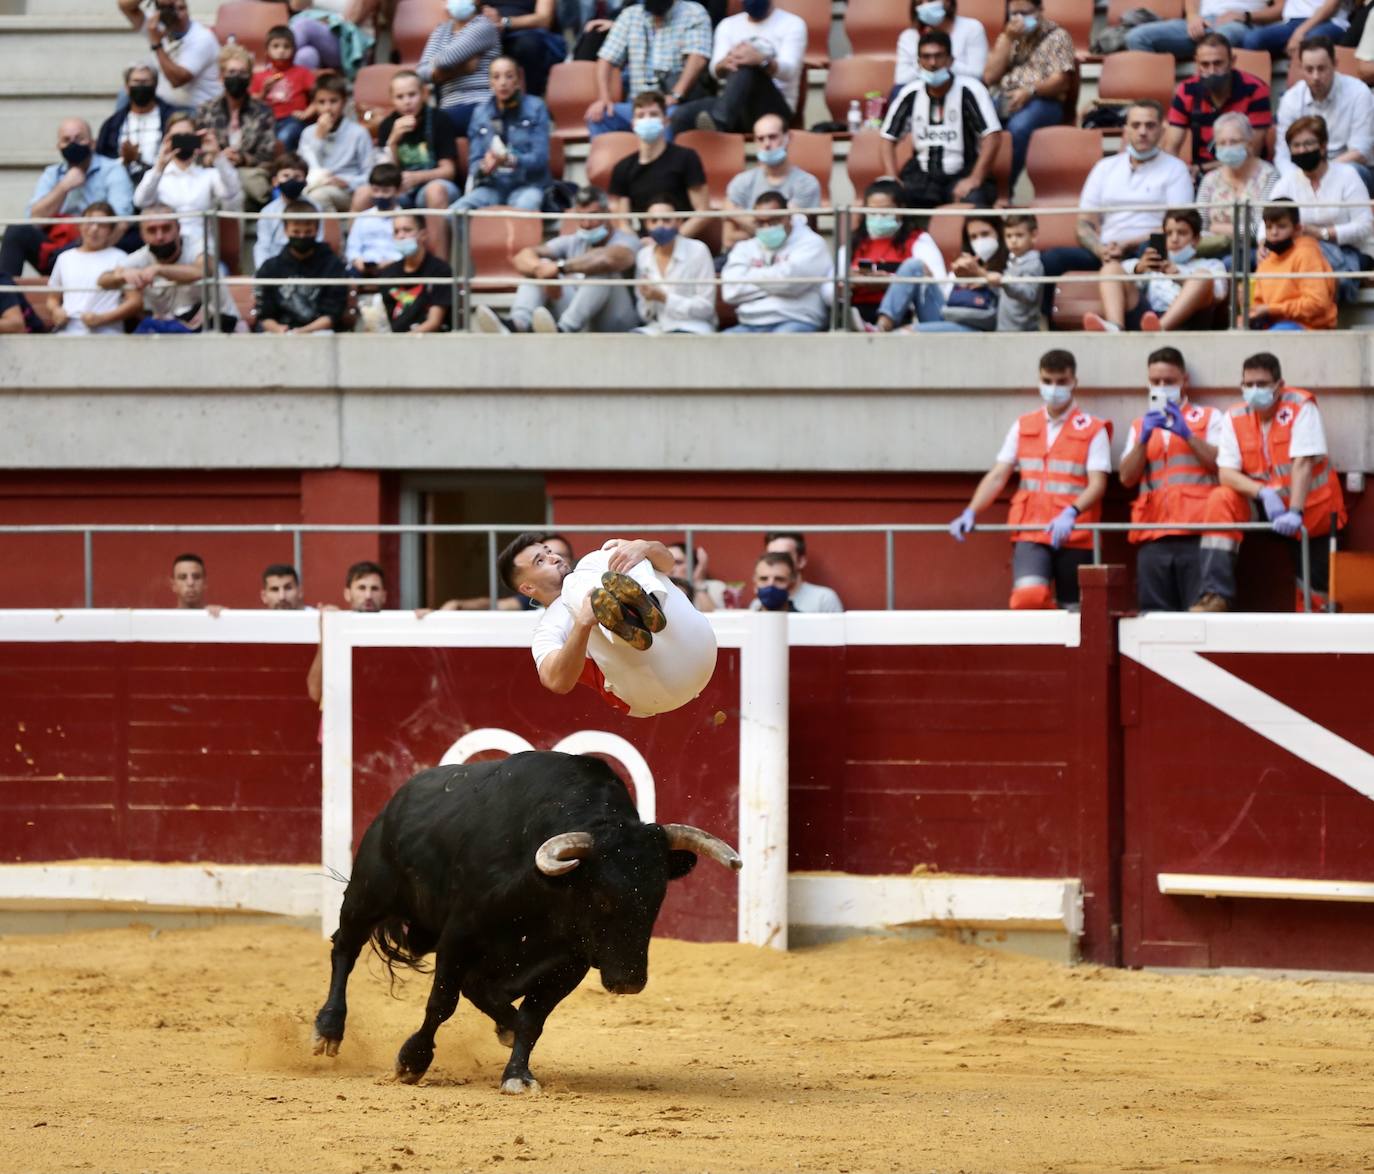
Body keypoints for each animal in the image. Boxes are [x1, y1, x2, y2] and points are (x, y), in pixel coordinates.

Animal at [314, 753, 741, 1094]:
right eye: (602, 896)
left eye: (656, 899)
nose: (629, 981)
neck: (548, 890)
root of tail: (397, 801)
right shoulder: (459, 938)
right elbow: (441, 1003)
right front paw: (411, 1060)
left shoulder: (568, 964)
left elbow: (532, 1019)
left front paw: (517, 1074)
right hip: (367, 895)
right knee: (344, 949)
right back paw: (328, 1029)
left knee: (483, 991)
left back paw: (505, 1025)